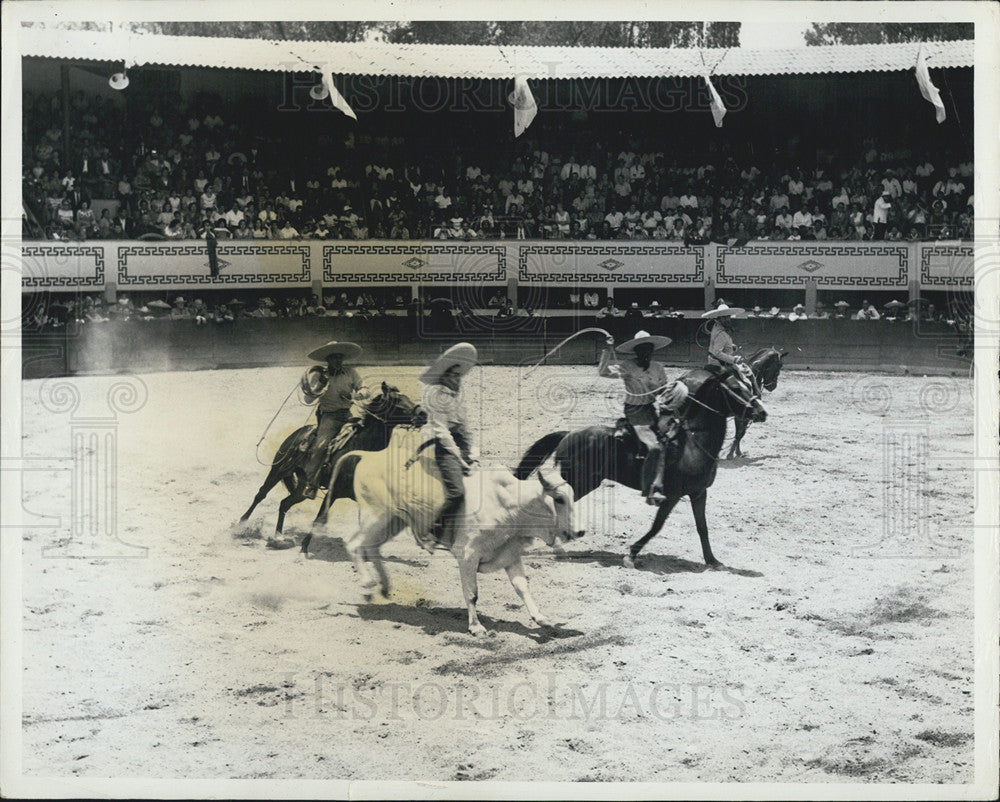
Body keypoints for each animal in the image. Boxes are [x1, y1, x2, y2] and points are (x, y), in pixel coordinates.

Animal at [240, 382, 420, 552]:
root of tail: (298, 434)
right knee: (261, 494)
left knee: (284, 504)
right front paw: (304, 547)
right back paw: (241, 525)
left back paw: (278, 537)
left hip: (303, 488)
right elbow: (319, 518)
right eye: (397, 401)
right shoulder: (333, 492)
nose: (422, 414)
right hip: (278, 470)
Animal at [332, 422, 584, 636]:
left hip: (393, 521)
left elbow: (522, 587)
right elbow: (472, 593)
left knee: (371, 547)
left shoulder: (510, 554)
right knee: (354, 544)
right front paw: (476, 627)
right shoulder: (467, 555)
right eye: (559, 499)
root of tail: (369, 455)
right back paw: (367, 586)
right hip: (375, 515)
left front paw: (541, 618)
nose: (580, 531)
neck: (506, 504)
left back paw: (384, 587)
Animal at [516, 366, 764, 564]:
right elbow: (657, 526)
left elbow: (702, 527)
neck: (693, 442)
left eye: (749, 385)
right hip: (581, 481)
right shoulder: (672, 495)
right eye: (736, 388)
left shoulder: (698, 492)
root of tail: (568, 434)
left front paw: (712, 560)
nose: (762, 412)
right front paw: (631, 554)